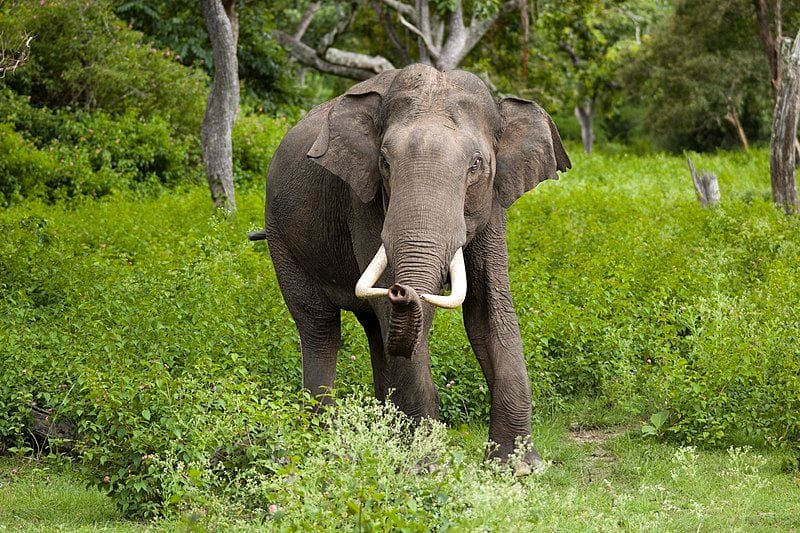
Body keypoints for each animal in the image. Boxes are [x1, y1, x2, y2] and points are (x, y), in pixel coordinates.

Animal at [250, 64, 568, 468]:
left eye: (476, 165)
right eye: (385, 163)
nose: (402, 290)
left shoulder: (493, 202)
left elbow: (488, 309)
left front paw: (520, 468)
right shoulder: (364, 200)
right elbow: (402, 316)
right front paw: (426, 466)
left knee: (375, 329)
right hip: (281, 237)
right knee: (320, 324)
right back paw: (327, 441)